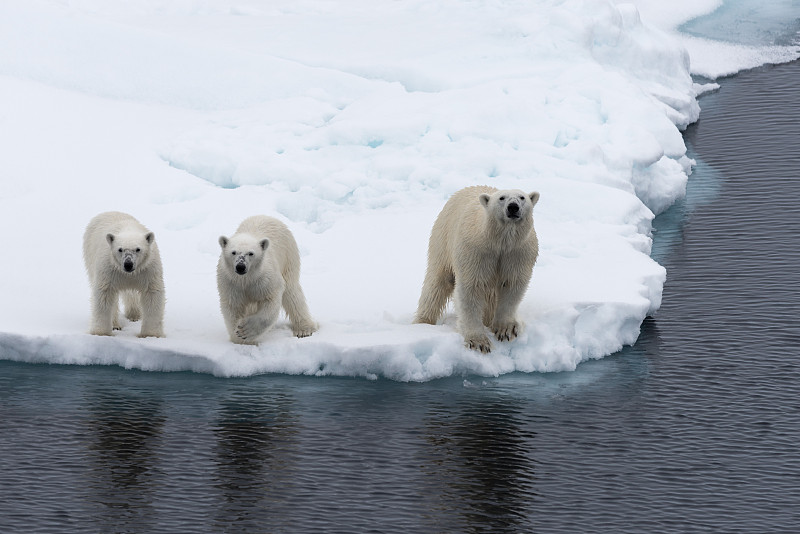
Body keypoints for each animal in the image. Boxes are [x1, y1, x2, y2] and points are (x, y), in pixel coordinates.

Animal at [220, 216, 320, 346]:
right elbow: (233, 307)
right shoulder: (231, 282)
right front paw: (241, 341)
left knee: (291, 292)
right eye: (233, 252)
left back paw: (304, 329)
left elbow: (270, 302)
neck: (247, 278)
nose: (240, 267)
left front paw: (245, 331)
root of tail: (267, 216)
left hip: (288, 255)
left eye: (251, 253)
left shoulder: (266, 279)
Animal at [416, 186, 540, 354]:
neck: (499, 242)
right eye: (501, 198)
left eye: (522, 198)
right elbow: (471, 288)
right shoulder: (476, 251)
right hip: (443, 238)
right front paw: (478, 342)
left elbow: (512, 286)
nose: (513, 207)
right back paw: (422, 323)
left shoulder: (517, 253)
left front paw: (506, 329)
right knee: (437, 283)